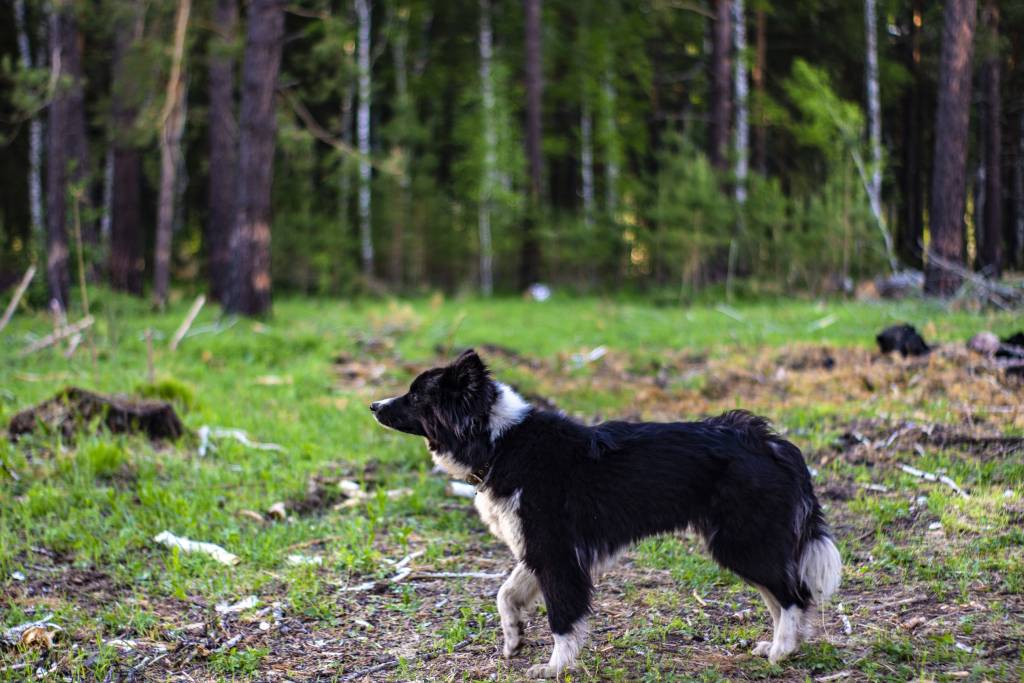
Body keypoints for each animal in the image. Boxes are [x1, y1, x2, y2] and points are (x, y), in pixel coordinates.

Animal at [371, 349, 841, 678]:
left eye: (416, 395)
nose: (373, 406)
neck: (498, 441)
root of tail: (770, 442)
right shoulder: (539, 548)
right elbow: (506, 593)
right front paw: (514, 638)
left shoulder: (556, 553)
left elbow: (563, 616)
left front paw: (555, 667)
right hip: (746, 542)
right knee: (780, 596)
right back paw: (781, 647)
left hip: (741, 541)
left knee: (794, 594)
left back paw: (781, 652)